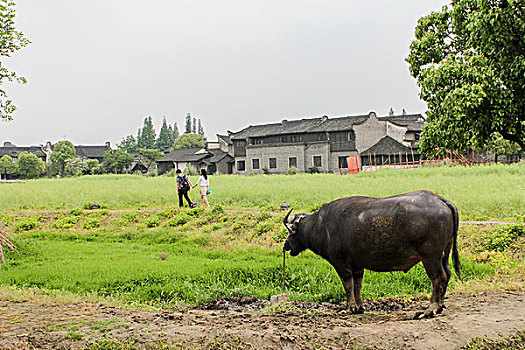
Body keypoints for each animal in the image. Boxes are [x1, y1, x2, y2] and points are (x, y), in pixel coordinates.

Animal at [282, 191, 458, 318]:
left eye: (291, 232)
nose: (286, 245)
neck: (320, 226)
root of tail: (441, 200)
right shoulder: (358, 266)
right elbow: (357, 286)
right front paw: (359, 308)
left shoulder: (341, 264)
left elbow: (348, 285)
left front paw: (349, 308)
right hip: (444, 254)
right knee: (447, 274)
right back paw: (440, 306)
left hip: (430, 257)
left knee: (438, 278)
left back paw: (431, 309)